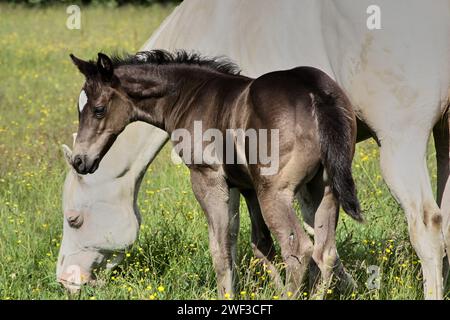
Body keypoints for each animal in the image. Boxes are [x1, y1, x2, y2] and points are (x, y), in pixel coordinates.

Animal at [58, 0, 450, 300]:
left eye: (97, 109)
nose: (81, 159)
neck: (194, 94)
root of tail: (316, 92)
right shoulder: (248, 186)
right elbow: (262, 245)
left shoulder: (210, 179)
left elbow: (223, 247)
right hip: (331, 183)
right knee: (324, 249)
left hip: (369, 154)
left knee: (315, 246)